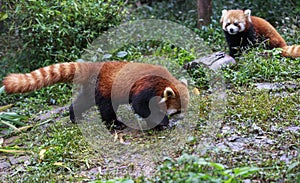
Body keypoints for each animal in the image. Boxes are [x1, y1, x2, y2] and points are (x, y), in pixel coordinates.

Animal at [2, 61, 189, 129]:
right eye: (176, 112)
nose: (180, 118)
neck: (163, 83)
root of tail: (94, 66)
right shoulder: (146, 88)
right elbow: (141, 106)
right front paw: (162, 122)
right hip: (104, 88)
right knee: (106, 107)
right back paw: (115, 124)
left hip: (92, 89)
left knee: (83, 101)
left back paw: (74, 116)